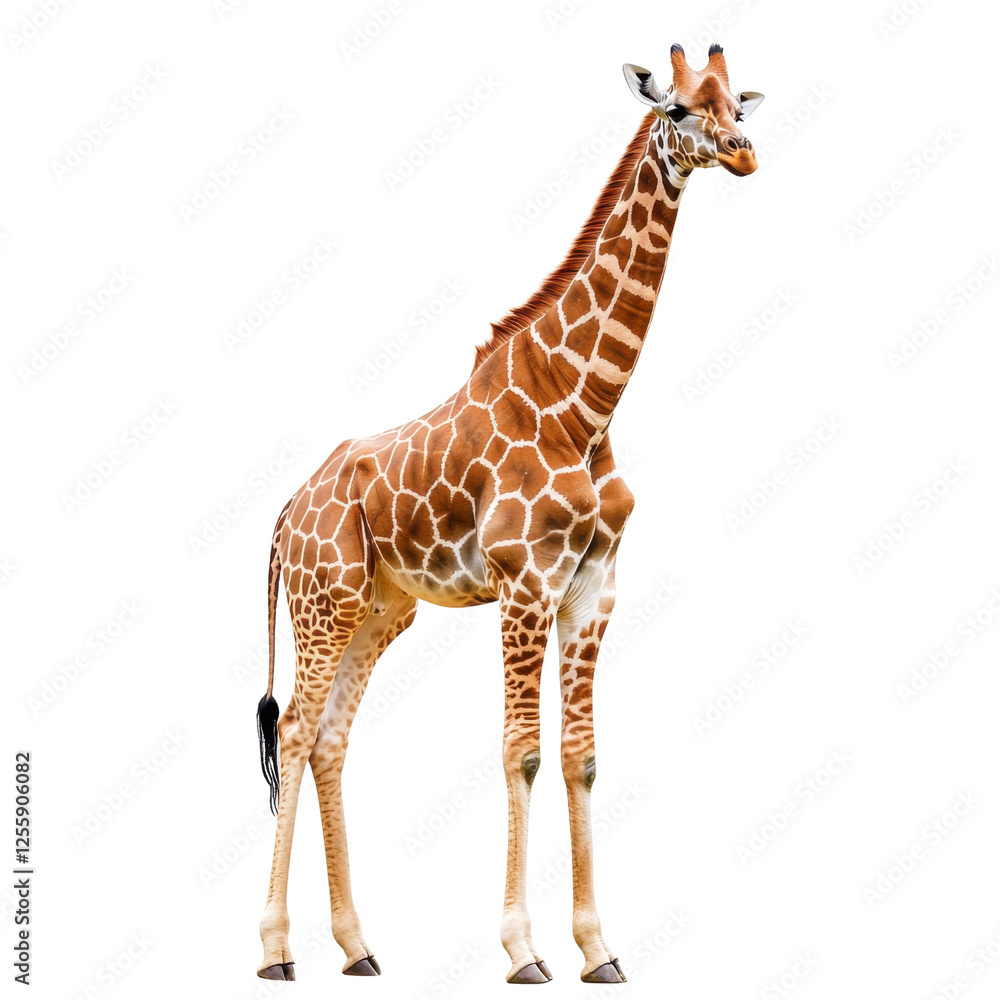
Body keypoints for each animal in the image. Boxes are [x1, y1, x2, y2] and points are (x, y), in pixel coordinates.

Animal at [254, 44, 763, 985]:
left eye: (735, 103)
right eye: (677, 109)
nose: (744, 153)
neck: (585, 404)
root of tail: (286, 509)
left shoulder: (593, 586)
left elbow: (580, 756)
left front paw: (599, 950)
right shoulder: (524, 581)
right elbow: (519, 751)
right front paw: (525, 951)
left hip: (379, 610)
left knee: (333, 737)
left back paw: (357, 946)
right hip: (323, 600)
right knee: (300, 730)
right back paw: (274, 950)